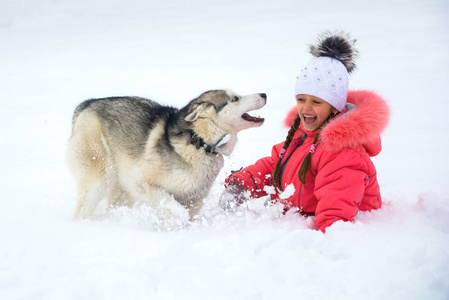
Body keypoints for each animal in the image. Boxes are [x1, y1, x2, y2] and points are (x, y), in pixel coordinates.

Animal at [65, 89, 264, 220]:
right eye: (235, 98)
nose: (264, 94)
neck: (199, 142)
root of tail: (87, 104)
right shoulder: (141, 182)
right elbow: (173, 207)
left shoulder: (194, 197)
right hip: (100, 178)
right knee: (82, 211)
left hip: (121, 190)